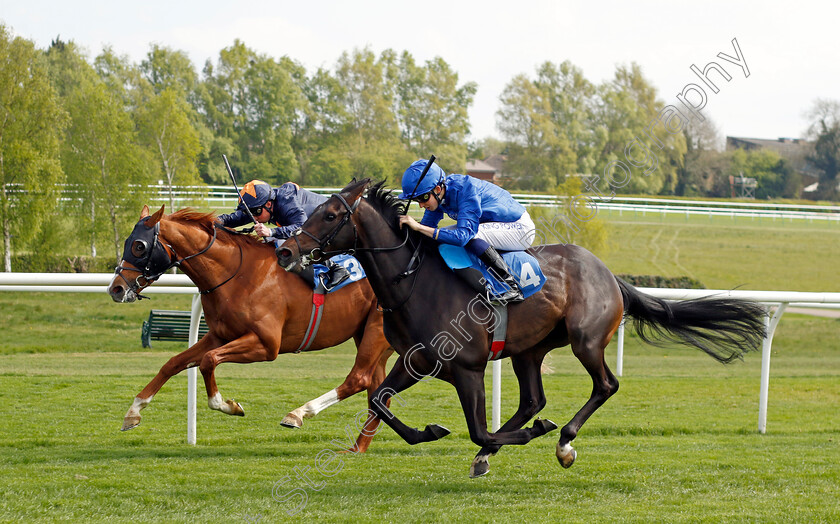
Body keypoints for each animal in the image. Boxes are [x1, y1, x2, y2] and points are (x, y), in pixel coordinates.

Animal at [108, 205, 394, 450]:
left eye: (139, 246)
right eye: (127, 242)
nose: (115, 289)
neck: (238, 274)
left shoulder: (267, 345)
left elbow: (208, 361)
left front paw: (227, 405)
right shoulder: (220, 335)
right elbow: (173, 363)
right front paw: (133, 412)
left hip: (375, 331)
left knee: (359, 379)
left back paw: (298, 414)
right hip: (373, 338)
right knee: (378, 391)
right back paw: (358, 447)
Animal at [278, 182, 768, 476]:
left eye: (329, 215)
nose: (285, 251)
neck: (415, 281)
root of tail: (609, 274)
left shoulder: (469, 368)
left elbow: (478, 427)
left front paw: (528, 436)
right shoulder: (417, 360)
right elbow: (380, 400)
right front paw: (431, 432)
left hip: (586, 339)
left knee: (604, 385)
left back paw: (563, 440)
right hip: (529, 350)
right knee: (533, 399)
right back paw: (500, 449)